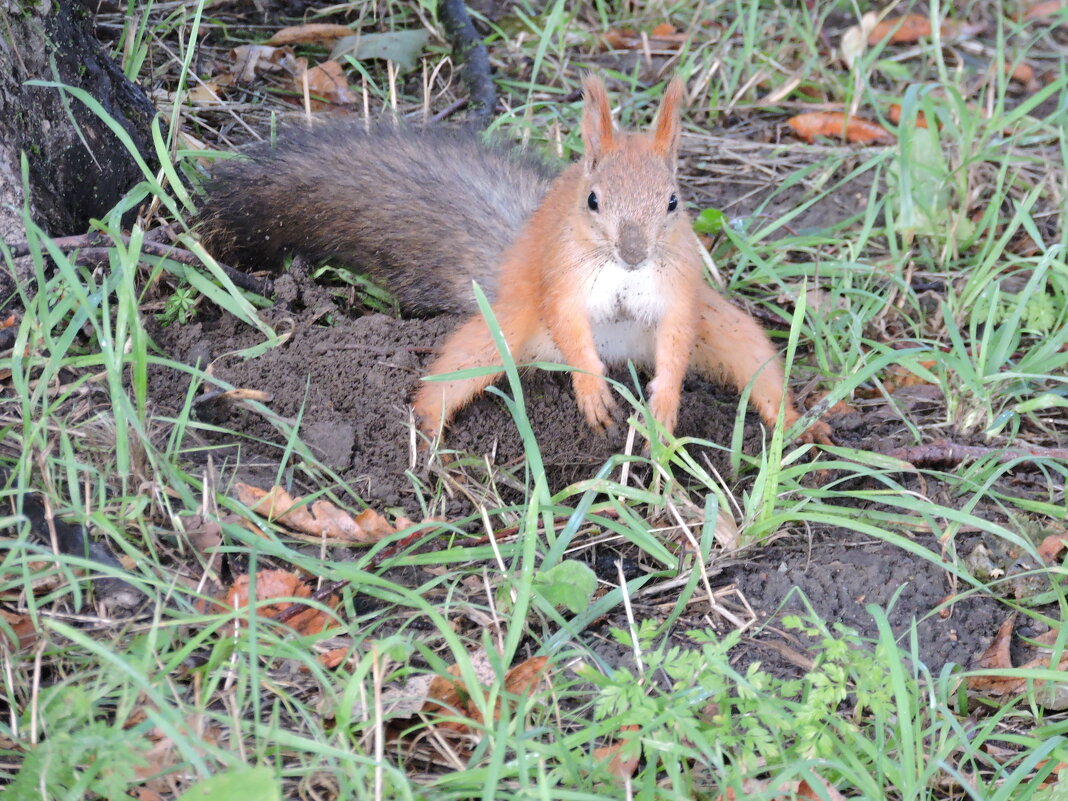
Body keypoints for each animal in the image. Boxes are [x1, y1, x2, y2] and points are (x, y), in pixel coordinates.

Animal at [200, 76, 833, 446]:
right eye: (593, 199)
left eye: (673, 201)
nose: (633, 252)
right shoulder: (562, 281)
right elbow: (570, 323)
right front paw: (592, 394)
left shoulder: (679, 290)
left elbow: (676, 341)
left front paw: (664, 405)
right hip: (504, 328)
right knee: (454, 373)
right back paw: (425, 435)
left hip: (724, 326)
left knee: (754, 366)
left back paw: (801, 425)